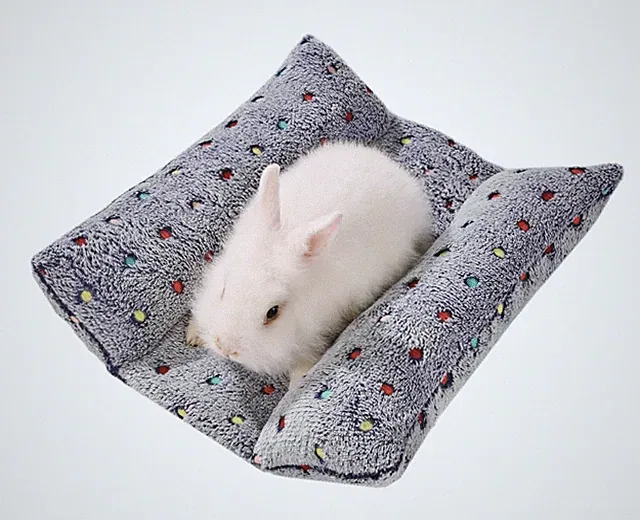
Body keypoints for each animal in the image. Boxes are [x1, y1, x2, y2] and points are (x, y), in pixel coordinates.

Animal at [187, 141, 434, 388]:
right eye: (223, 290)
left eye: (272, 312)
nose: (226, 348)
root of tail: (388, 164)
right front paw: (193, 335)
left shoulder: (316, 330)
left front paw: (298, 382)